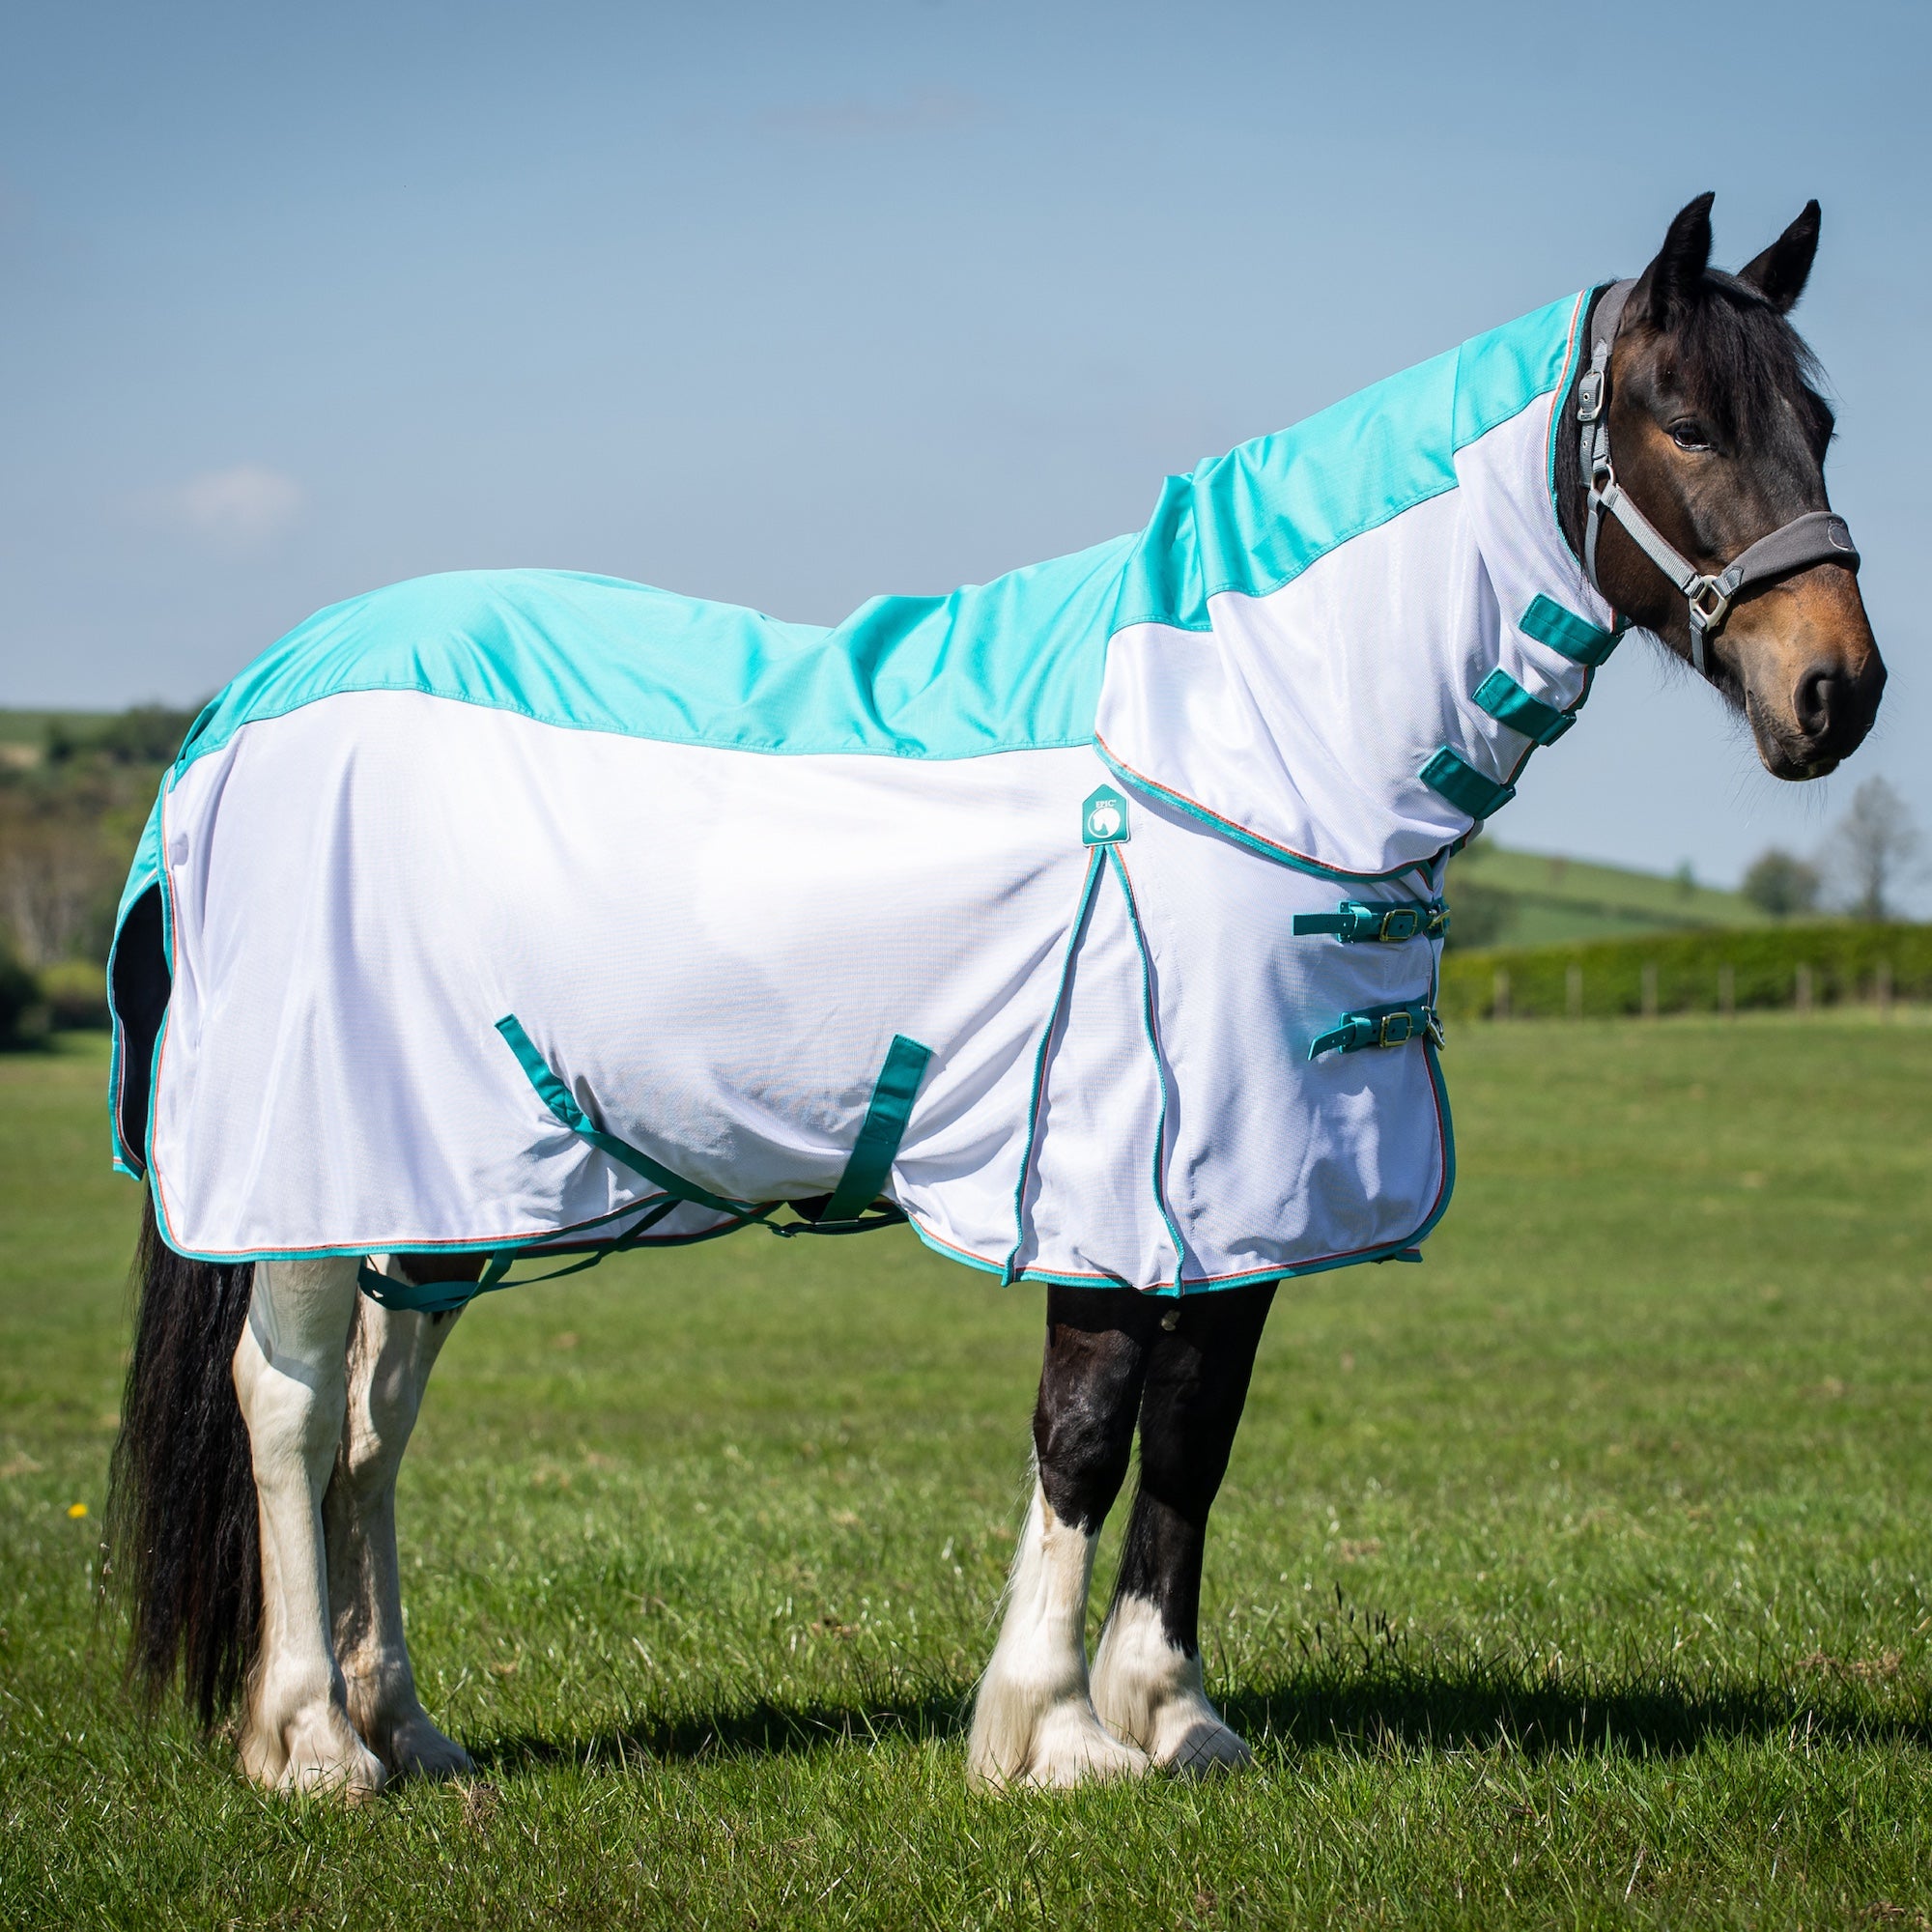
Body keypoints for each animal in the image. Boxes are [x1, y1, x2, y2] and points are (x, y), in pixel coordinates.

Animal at [104, 194, 1883, 1794]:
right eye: (1682, 420)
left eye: (1818, 422)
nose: (1837, 692)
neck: (1242, 736)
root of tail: (249, 704)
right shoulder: (1104, 1174)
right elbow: (1088, 1429)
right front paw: (1052, 1733)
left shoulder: (1245, 1196)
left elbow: (1197, 1434)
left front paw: (1174, 1717)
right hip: (306, 1166)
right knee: (286, 1407)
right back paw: (310, 1743)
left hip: (445, 1185)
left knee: (374, 1425)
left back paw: (406, 1728)